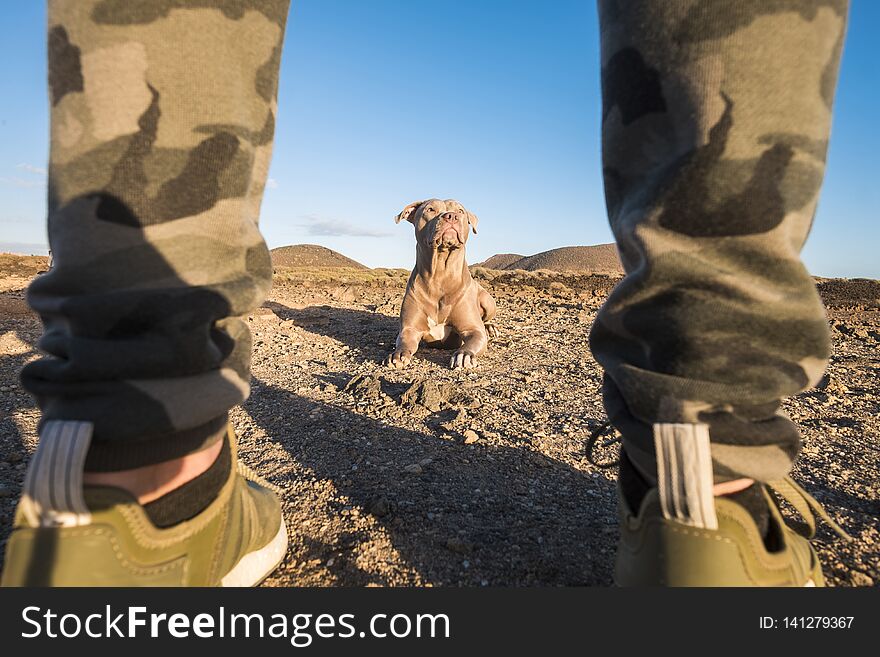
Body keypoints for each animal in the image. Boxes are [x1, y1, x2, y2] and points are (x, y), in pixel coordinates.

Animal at [384, 197, 496, 368]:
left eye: (460, 211)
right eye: (430, 209)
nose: (451, 216)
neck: (440, 276)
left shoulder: (474, 330)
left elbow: (473, 340)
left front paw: (464, 355)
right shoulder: (410, 329)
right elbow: (404, 341)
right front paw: (398, 355)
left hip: (487, 301)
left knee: (487, 319)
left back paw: (490, 328)